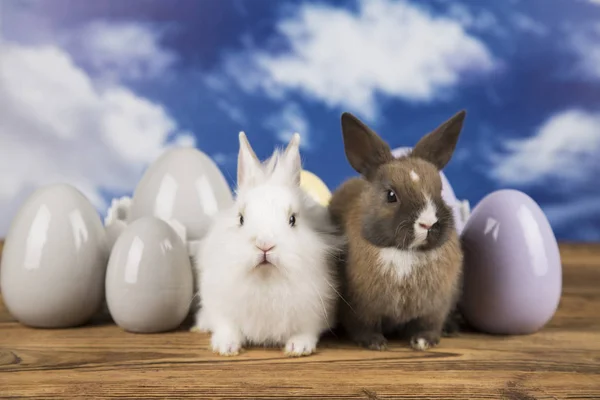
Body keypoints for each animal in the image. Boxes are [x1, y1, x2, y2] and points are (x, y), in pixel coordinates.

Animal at [192, 133, 342, 358]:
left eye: (292, 219)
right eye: (241, 218)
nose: (264, 245)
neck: (266, 281)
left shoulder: (316, 311)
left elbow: (307, 331)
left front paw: (298, 348)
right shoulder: (220, 306)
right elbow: (227, 327)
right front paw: (226, 347)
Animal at [330, 111, 466, 352]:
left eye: (440, 191)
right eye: (391, 195)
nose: (428, 223)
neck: (406, 254)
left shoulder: (435, 307)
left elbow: (429, 324)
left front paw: (423, 342)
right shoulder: (360, 309)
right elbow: (364, 327)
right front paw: (375, 343)